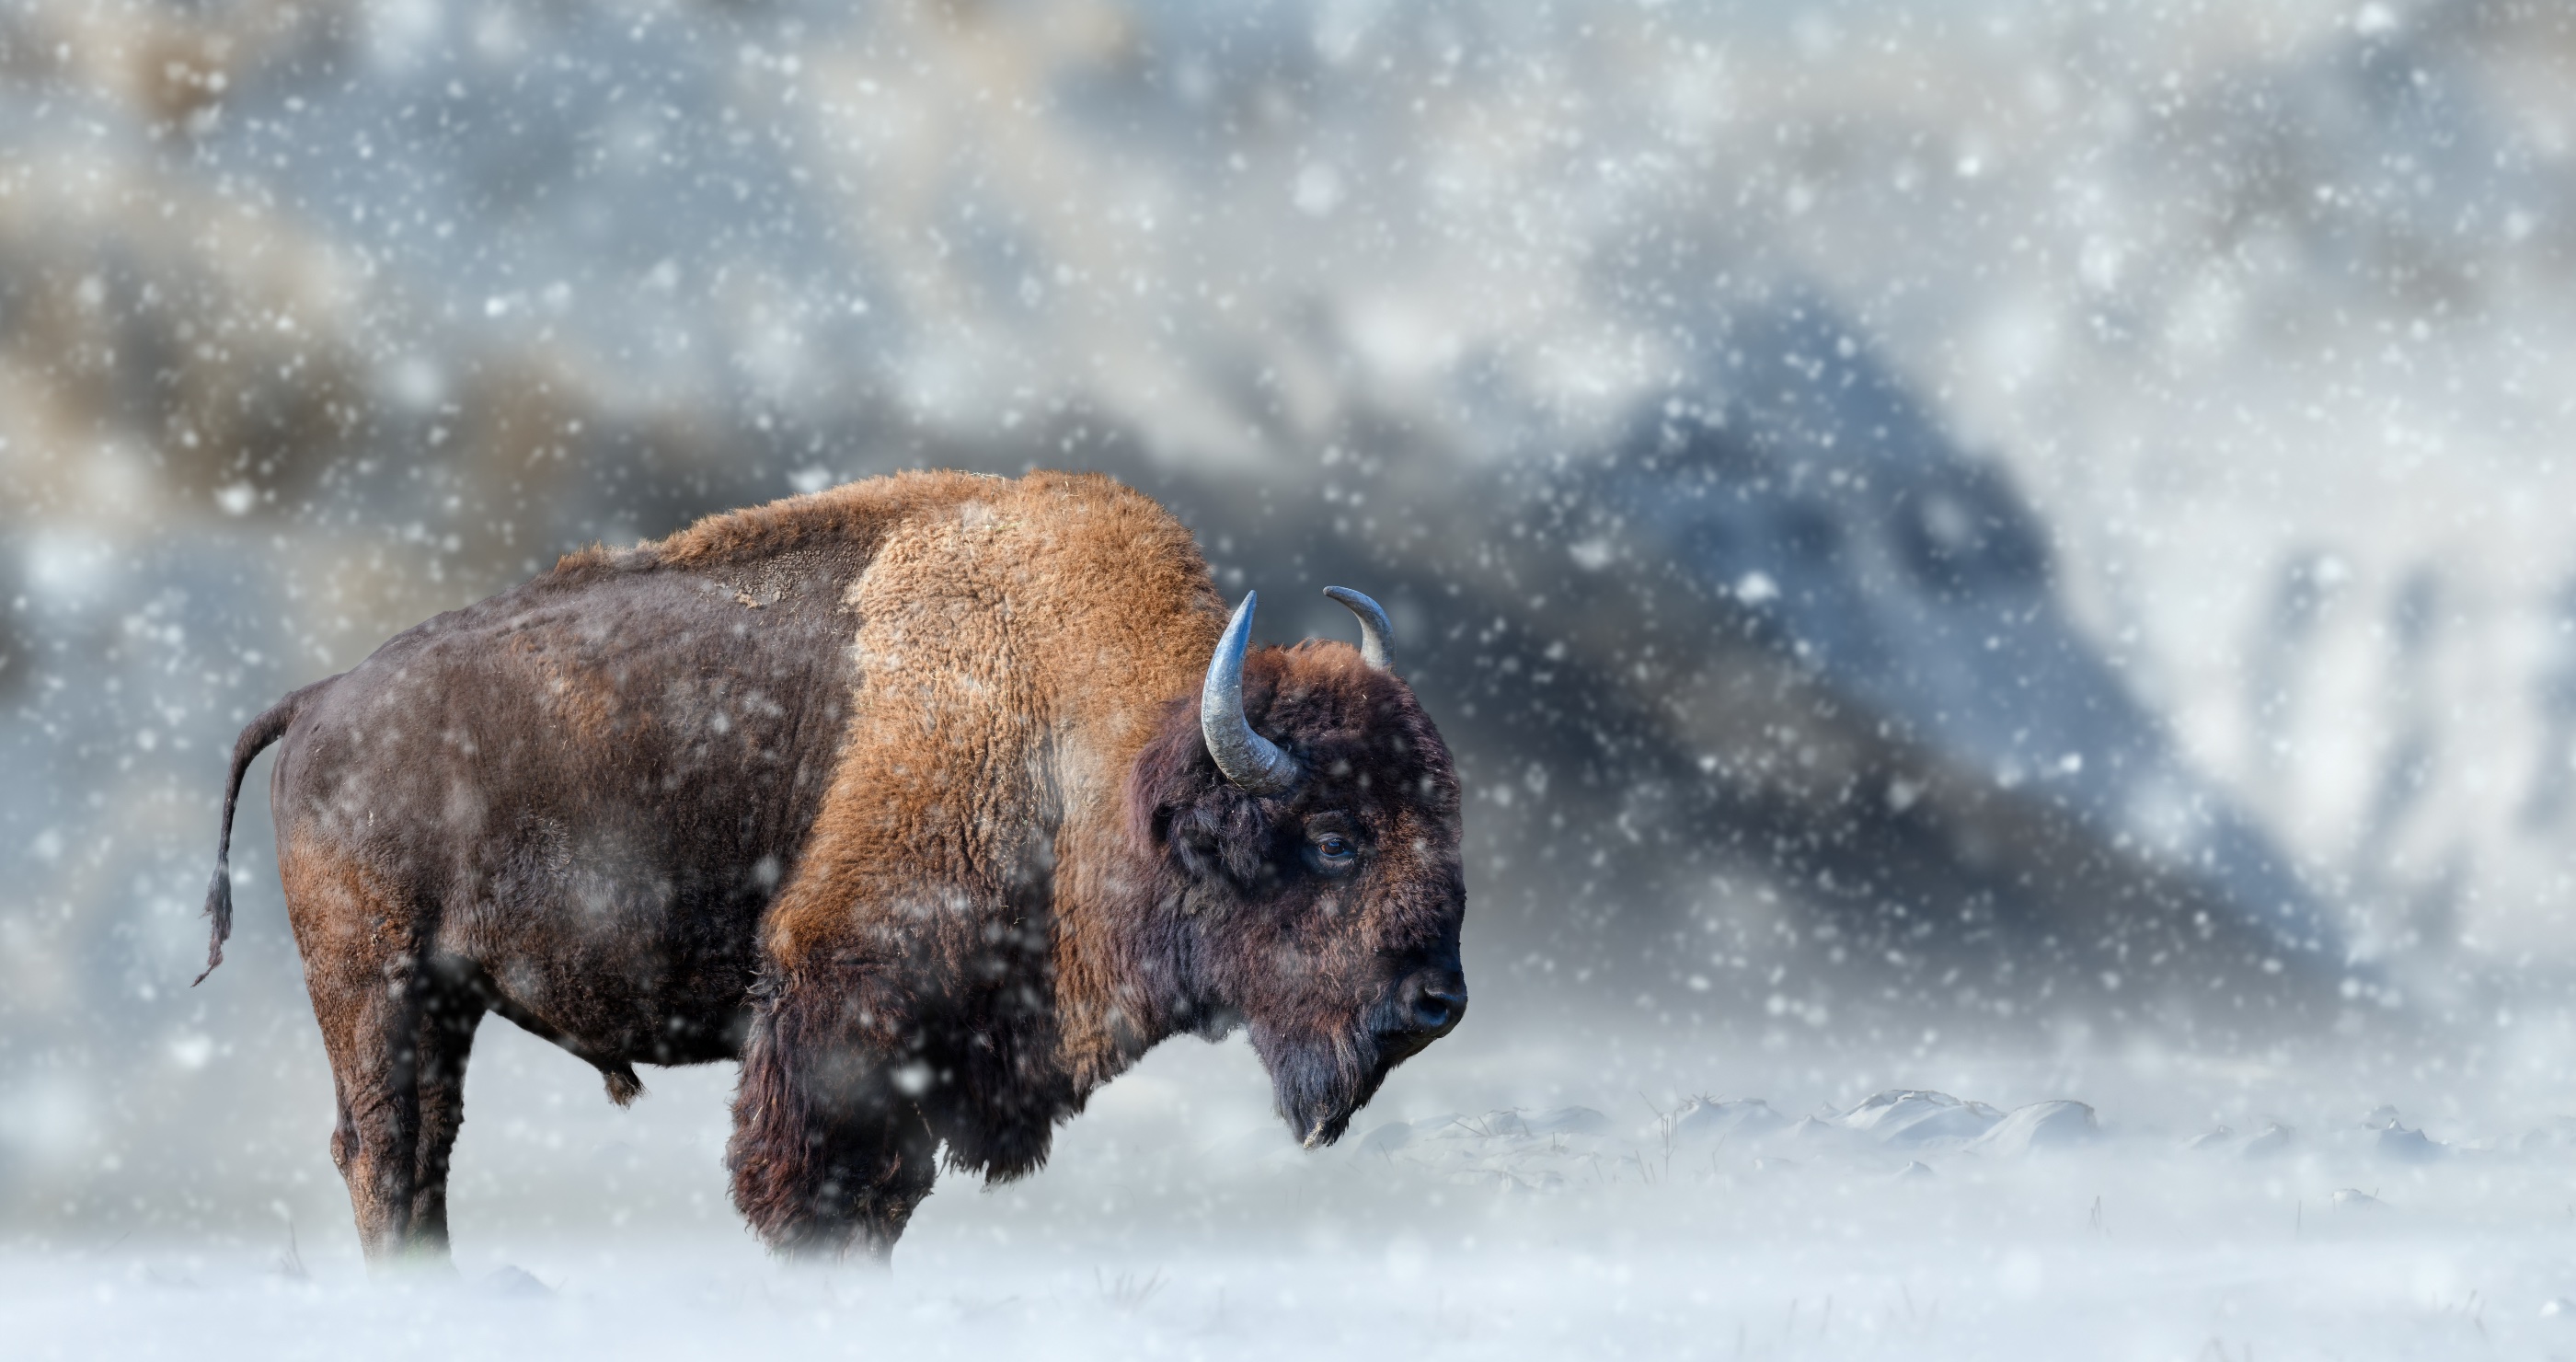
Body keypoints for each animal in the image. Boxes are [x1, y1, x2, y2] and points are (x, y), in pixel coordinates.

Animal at [201, 470, 1473, 1261]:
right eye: (1334, 836)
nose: (1439, 1004)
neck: (1075, 739)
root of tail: (320, 699)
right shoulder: (839, 1027)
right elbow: (821, 1199)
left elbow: (882, 1204)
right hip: (373, 987)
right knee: (384, 1154)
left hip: (442, 1002)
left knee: (423, 1157)